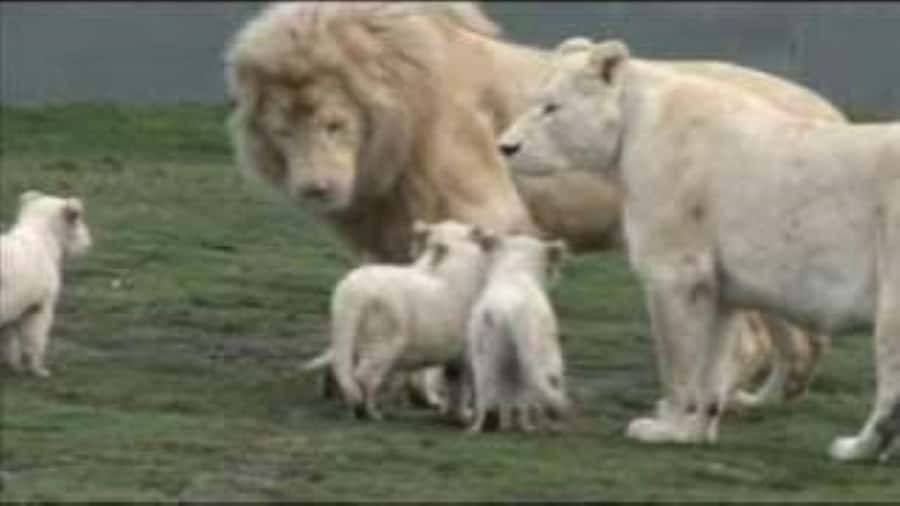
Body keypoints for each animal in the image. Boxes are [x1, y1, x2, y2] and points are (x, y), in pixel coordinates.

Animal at [224, 3, 840, 410]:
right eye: (283, 130)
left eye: (334, 124)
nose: (316, 188)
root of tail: (828, 110)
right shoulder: (389, 226)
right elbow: (398, 290)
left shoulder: (485, 207)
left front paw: (432, 384)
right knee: (795, 340)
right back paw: (765, 395)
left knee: (758, 338)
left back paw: (719, 399)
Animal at [498, 38, 900, 462]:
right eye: (533, 100)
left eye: (551, 107)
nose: (505, 147)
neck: (636, 123)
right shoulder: (718, 285)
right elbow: (711, 361)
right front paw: (695, 430)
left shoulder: (677, 270)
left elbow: (677, 358)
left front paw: (663, 427)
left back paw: (855, 448)